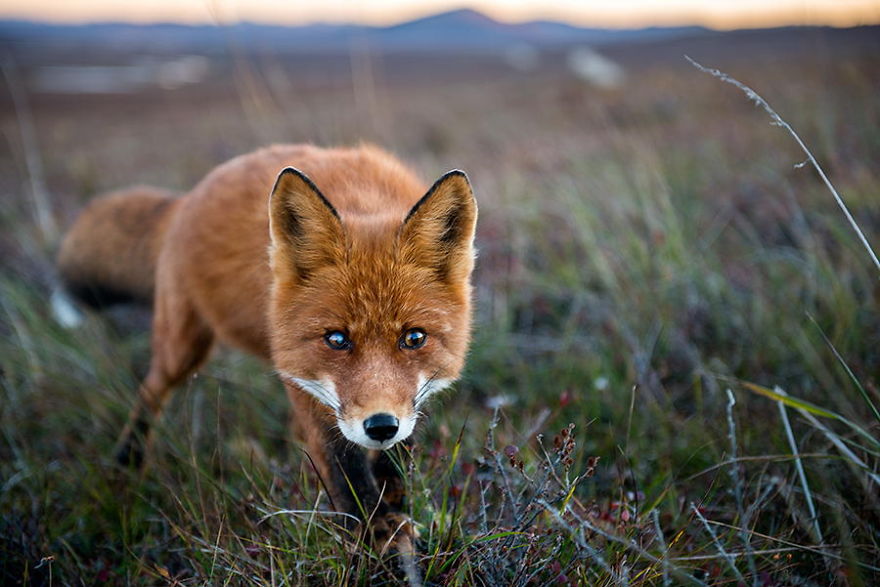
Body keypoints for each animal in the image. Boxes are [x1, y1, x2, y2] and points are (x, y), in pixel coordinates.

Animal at [57, 143, 478, 548]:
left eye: (414, 338)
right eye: (336, 339)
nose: (380, 426)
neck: (365, 201)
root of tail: (190, 196)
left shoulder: (409, 401)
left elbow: (398, 460)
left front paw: (398, 512)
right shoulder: (305, 384)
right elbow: (345, 469)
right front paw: (376, 535)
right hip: (183, 347)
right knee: (151, 391)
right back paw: (127, 462)